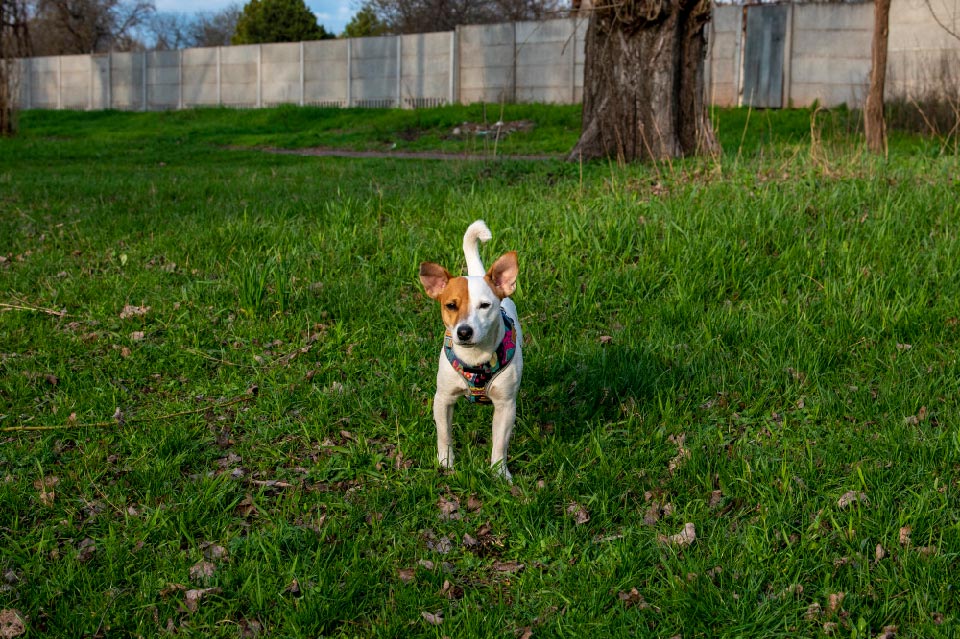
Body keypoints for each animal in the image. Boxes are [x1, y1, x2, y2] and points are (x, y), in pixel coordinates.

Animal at [420, 220, 524, 480]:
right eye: (450, 305)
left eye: (485, 305)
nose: (464, 331)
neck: (475, 359)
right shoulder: (443, 399)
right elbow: (444, 434)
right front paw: (446, 463)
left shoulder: (506, 405)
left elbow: (500, 443)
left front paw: (499, 473)